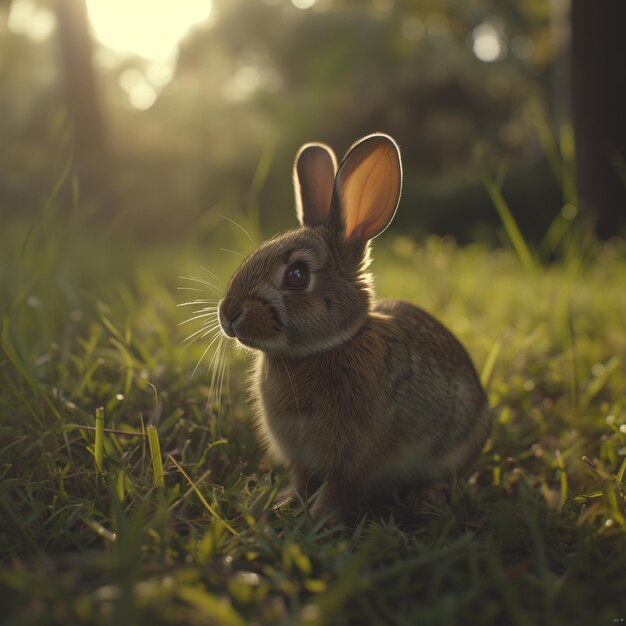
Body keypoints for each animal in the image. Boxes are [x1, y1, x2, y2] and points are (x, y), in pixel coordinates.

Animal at [217, 134, 490, 520]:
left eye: (297, 276)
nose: (228, 314)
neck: (325, 348)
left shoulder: (356, 456)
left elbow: (341, 489)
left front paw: (319, 518)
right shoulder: (300, 456)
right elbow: (302, 480)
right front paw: (283, 502)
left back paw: (429, 497)